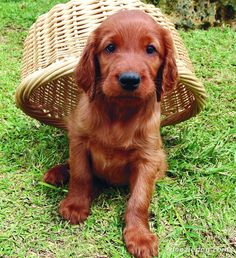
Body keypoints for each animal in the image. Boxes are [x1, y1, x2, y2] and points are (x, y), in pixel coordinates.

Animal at [43, 10, 177, 258]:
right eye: (110, 47)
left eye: (150, 49)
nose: (129, 79)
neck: (120, 111)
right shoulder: (79, 141)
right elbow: (81, 175)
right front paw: (75, 205)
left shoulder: (148, 158)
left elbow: (139, 200)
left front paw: (140, 237)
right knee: (71, 166)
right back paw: (57, 174)